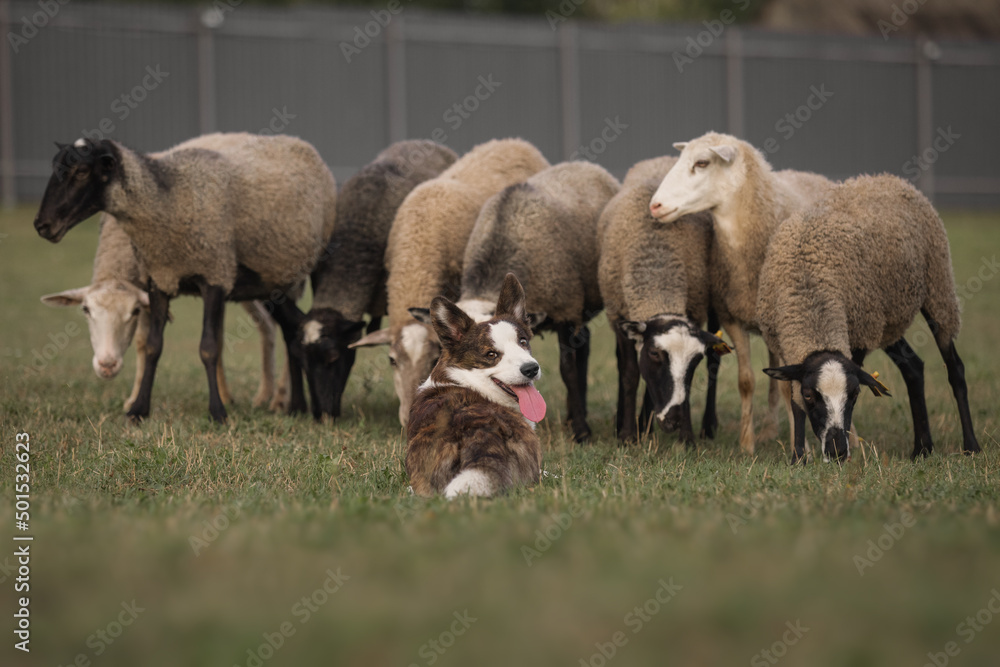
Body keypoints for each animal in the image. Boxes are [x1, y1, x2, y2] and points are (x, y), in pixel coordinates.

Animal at [40, 213, 287, 411]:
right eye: (85, 309)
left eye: (134, 311)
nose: (107, 365)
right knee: (266, 324)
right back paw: (265, 395)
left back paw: (280, 399)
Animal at [598, 155, 729, 445]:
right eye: (655, 354)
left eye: (695, 360)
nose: (674, 420)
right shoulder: (618, 317)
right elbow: (630, 374)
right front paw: (627, 435)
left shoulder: (695, 311)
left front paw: (687, 438)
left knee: (716, 364)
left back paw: (707, 427)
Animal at [648, 131, 834, 455]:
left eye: (702, 162)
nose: (655, 206)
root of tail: (810, 174)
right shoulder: (731, 317)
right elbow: (747, 381)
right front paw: (747, 444)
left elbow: (789, 386)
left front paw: (800, 447)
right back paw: (769, 428)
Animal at [758, 174, 981, 462]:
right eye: (810, 395)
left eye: (855, 394)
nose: (837, 451)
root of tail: (887, 178)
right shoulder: (788, 346)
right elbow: (795, 403)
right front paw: (798, 457)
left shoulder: (858, 338)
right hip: (884, 320)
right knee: (913, 367)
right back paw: (922, 449)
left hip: (937, 290)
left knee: (955, 368)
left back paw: (970, 446)